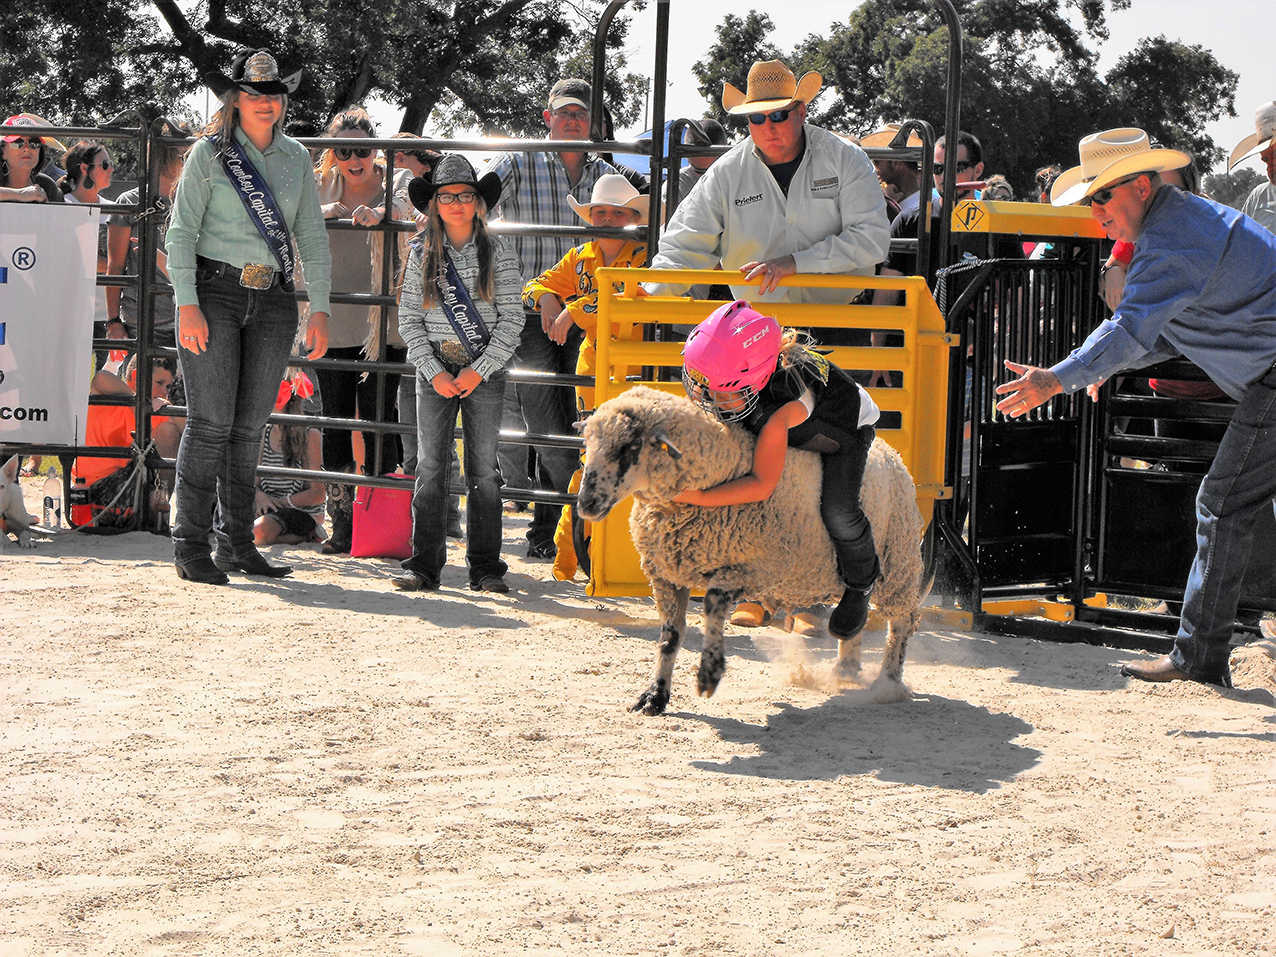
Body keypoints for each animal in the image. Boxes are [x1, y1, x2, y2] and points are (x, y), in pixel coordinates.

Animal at [579, 385, 928, 714]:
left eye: (630, 447)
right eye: (587, 444)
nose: (586, 504)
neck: (724, 467)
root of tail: (892, 453)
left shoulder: (757, 570)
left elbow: (712, 604)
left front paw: (709, 674)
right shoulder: (665, 575)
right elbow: (669, 639)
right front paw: (654, 697)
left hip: (898, 562)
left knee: (900, 622)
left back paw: (887, 681)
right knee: (859, 612)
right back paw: (846, 666)